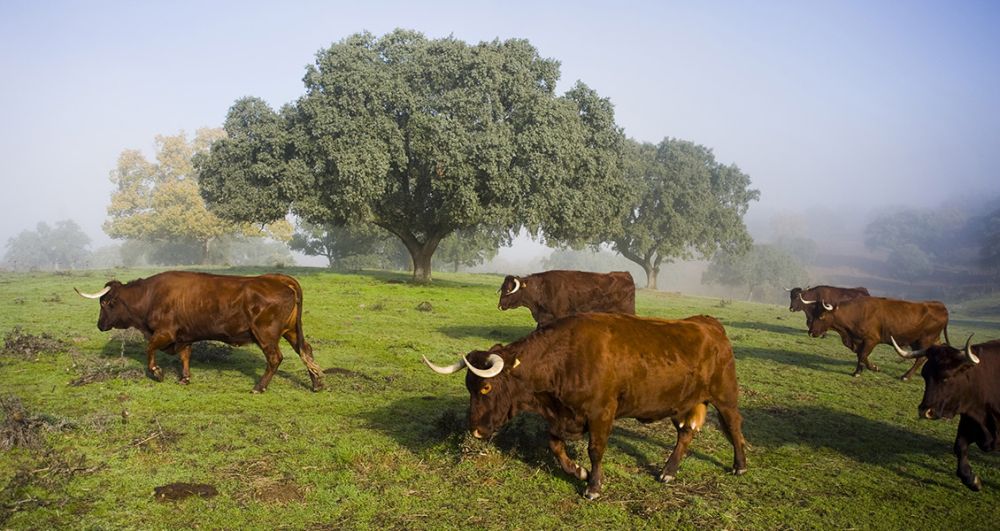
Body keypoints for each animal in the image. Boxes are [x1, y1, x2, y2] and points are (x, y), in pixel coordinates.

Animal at [76, 272, 322, 392]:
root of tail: (277, 278)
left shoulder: (165, 333)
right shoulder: (184, 336)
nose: (100, 325)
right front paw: (185, 378)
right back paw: (317, 383)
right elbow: (185, 355)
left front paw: (157, 372)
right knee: (306, 350)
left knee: (275, 358)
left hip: (266, 335)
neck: (150, 295)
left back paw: (259, 387)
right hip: (291, 331)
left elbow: (150, 349)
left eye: (105, 303)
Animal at [420, 314, 744, 500]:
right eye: (468, 387)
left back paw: (739, 465)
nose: (474, 429)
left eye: (486, 387)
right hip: (683, 401)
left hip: (725, 395)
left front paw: (593, 487)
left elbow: (596, 450)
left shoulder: (602, 413)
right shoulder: (561, 416)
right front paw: (579, 472)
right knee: (685, 433)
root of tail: (709, 323)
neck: (566, 357)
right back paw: (668, 471)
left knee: (734, 426)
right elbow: (555, 445)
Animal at [498, 270, 636, 328]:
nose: (500, 305)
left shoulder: (559, 315)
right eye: (502, 288)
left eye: (509, 290)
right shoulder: (544, 318)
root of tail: (625, 274)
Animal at [808, 298, 948, 380]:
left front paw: (872, 368)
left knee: (921, 358)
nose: (811, 332)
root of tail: (940, 306)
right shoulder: (859, 341)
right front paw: (859, 370)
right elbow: (860, 355)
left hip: (925, 340)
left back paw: (906, 376)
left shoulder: (871, 340)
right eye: (814, 313)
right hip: (925, 340)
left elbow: (863, 355)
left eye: (821, 316)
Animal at [892, 336, 1000, 490]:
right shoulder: (969, 421)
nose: (925, 411)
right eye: (925, 376)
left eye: (946, 377)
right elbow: (959, 446)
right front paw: (971, 480)